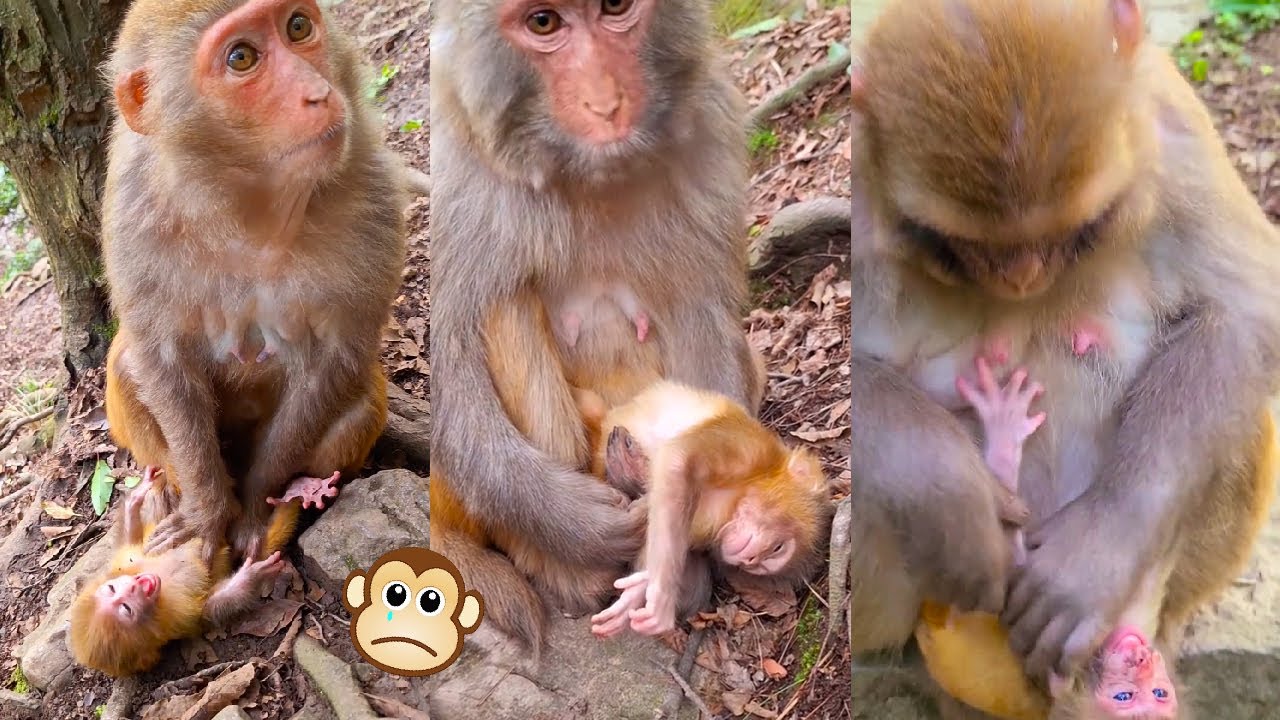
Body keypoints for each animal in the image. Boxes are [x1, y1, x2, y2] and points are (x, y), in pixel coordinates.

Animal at [68, 467, 307, 677]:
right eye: (127, 609)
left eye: (112, 588)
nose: (135, 586)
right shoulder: (179, 618)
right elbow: (209, 606)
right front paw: (252, 575)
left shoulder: (127, 561)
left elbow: (131, 540)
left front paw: (137, 496)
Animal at [100, 0, 406, 565]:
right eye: (241, 57)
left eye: (298, 26)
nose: (318, 93)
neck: (249, 205)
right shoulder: (134, 214)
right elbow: (161, 358)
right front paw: (207, 513)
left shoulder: (374, 192)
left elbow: (335, 357)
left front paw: (254, 512)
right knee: (128, 367)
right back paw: (172, 489)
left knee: (359, 403)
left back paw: (299, 489)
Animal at [429, 0, 766, 650]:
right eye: (543, 23)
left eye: (614, 8)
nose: (607, 104)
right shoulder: (463, 183)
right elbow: (454, 370)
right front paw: (576, 526)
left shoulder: (710, 135)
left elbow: (703, 312)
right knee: (504, 305)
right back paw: (569, 569)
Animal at [848, 0, 1280, 712]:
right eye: (963, 244)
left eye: (1082, 227)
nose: (1023, 278)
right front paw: (948, 494)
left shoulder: (1173, 127)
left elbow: (1248, 312)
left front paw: (1095, 556)